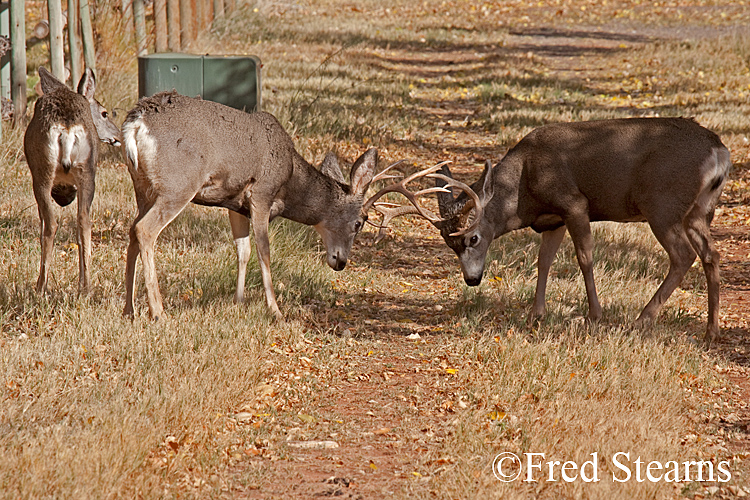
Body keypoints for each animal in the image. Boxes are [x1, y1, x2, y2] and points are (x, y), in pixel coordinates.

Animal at [25, 65, 122, 294]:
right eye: (104, 113)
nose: (118, 135)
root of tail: (67, 128)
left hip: (42, 171)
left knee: (50, 224)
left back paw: (41, 286)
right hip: (87, 170)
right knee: (84, 221)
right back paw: (85, 286)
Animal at [121, 91, 438, 320]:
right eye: (359, 222)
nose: (341, 262)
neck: (290, 180)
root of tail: (136, 122)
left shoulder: (233, 204)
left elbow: (243, 251)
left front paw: (238, 302)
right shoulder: (261, 192)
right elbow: (264, 250)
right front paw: (275, 310)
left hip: (142, 186)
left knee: (132, 230)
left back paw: (129, 310)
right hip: (179, 184)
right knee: (145, 230)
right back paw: (158, 313)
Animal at [376, 117, 736, 344]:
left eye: (472, 238)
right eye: (450, 246)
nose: (472, 279)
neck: (524, 191)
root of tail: (720, 151)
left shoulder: (574, 202)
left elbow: (584, 257)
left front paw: (594, 315)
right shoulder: (553, 220)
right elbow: (543, 261)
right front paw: (536, 315)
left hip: (662, 204)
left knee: (683, 255)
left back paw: (642, 319)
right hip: (699, 211)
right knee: (711, 255)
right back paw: (711, 331)